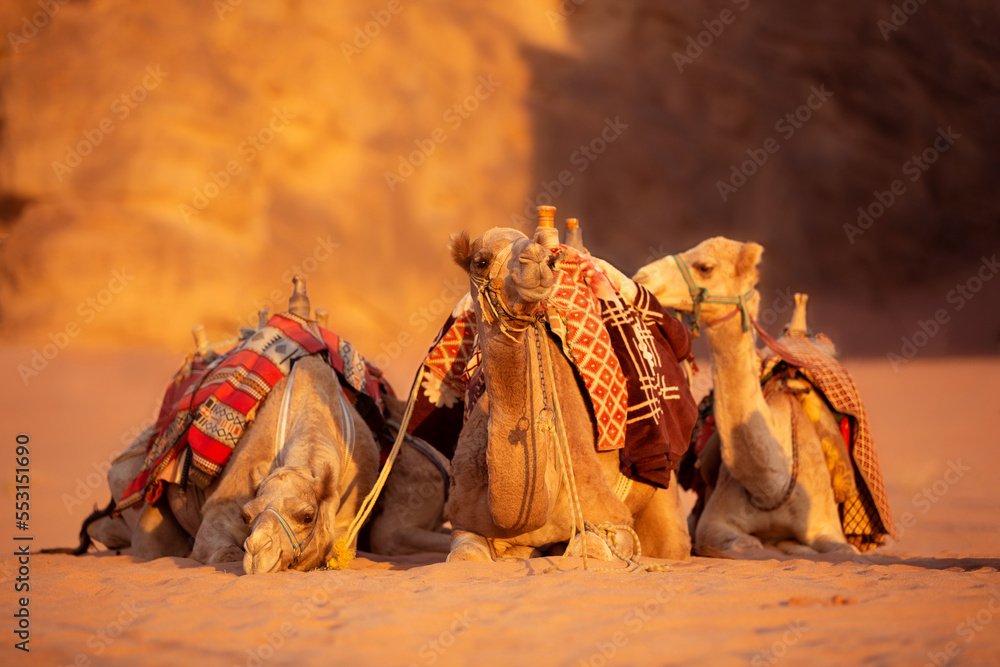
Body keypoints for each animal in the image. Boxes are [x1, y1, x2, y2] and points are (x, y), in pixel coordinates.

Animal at [444, 227, 690, 563]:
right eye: (480, 261)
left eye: (549, 260)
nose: (536, 260)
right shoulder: (463, 520)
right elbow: (465, 556)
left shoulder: (613, 518)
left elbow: (587, 549)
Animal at [633, 238, 858, 558]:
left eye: (705, 267)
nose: (642, 277)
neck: (771, 486)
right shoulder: (711, 523)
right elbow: (747, 543)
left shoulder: (826, 525)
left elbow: (843, 551)